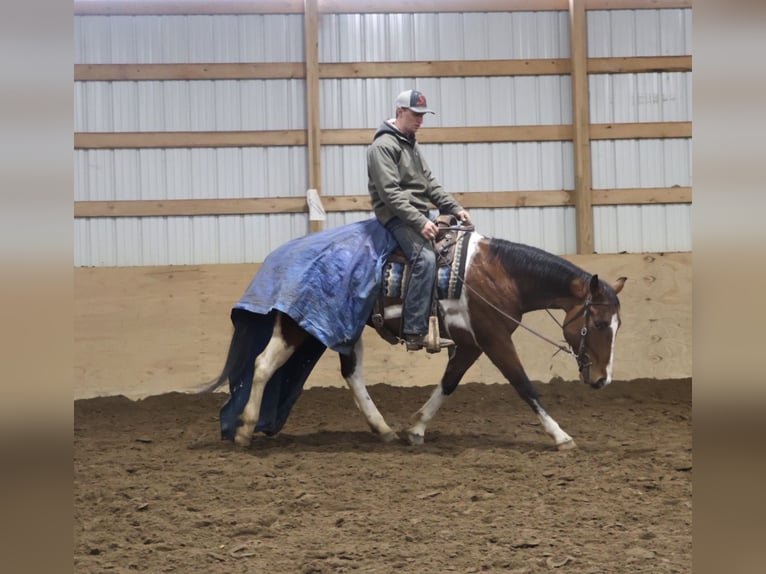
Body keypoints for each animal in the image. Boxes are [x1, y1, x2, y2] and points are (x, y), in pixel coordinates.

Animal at [205, 221, 626, 451]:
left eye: (618, 325)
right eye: (600, 324)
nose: (602, 380)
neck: (497, 274)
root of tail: (281, 256)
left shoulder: (472, 344)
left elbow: (448, 383)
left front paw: (416, 428)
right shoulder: (494, 339)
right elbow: (524, 386)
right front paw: (560, 436)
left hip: (341, 327)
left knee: (351, 375)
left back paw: (384, 429)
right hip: (298, 326)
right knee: (263, 364)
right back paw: (245, 429)